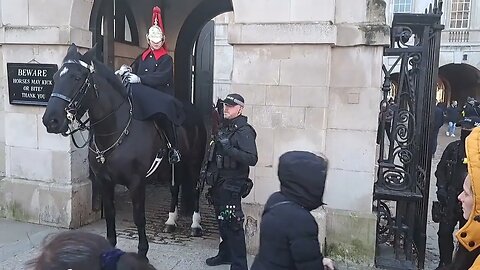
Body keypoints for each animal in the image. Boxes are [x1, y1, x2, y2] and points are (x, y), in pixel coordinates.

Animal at [45, 44, 208, 260]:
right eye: (55, 77)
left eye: (77, 77)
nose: (51, 120)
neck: (114, 129)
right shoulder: (104, 181)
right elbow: (110, 213)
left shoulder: (136, 182)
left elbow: (139, 217)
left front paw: (142, 252)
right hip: (174, 166)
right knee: (175, 188)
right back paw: (171, 221)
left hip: (194, 162)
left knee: (196, 188)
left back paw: (195, 224)